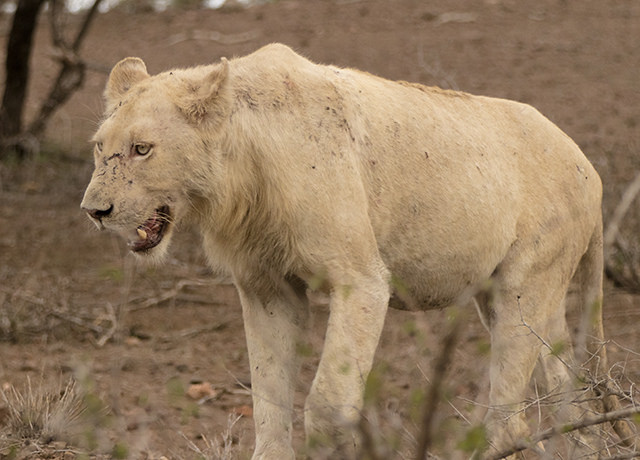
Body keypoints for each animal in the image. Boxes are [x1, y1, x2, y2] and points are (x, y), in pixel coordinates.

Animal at [81, 44, 633, 458]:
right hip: (514, 298)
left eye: (142, 149)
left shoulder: (361, 280)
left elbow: (326, 402)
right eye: (99, 147)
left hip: (525, 284)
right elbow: (268, 399)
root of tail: (590, 167)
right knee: (573, 398)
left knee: (511, 421)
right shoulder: (266, 289)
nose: (94, 210)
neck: (240, 176)